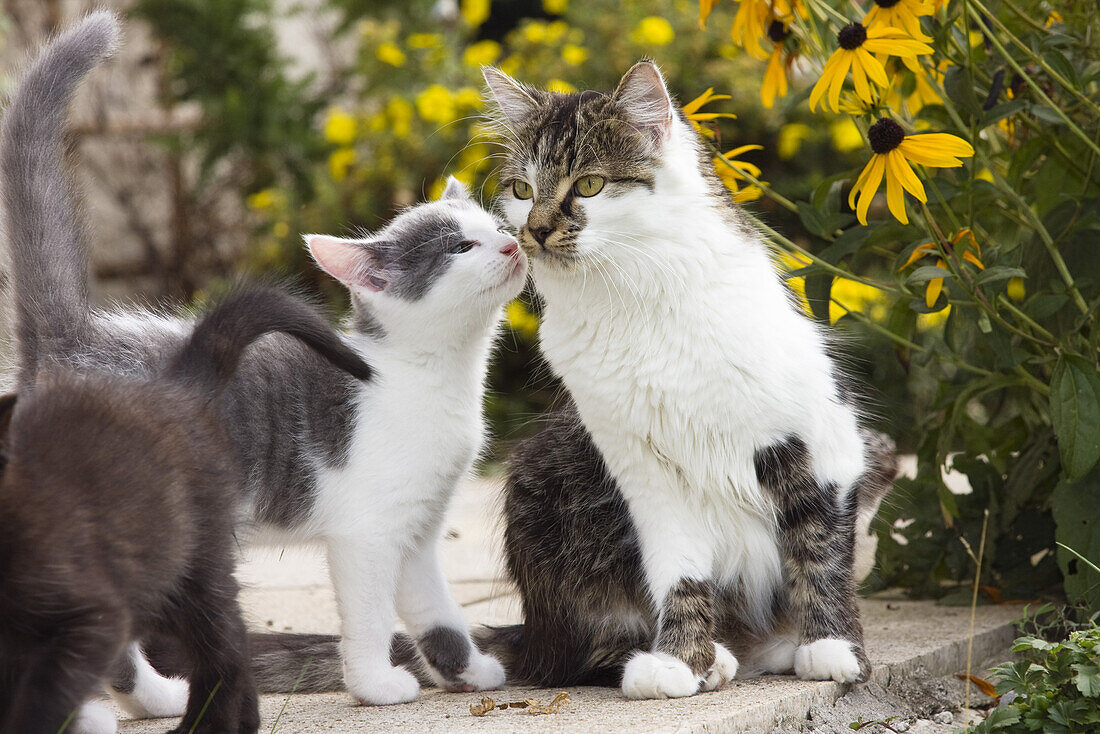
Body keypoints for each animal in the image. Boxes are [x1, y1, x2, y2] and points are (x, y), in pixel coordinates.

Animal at [468, 60, 897, 699]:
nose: (536, 231)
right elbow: (680, 572)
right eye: (522, 191)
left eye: (589, 185)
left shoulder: (823, 441)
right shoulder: (645, 474)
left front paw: (833, 649)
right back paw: (705, 658)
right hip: (544, 490)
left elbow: (817, 551)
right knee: (577, 653)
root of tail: (532, 633)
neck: (633, 306)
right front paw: (681, 659)